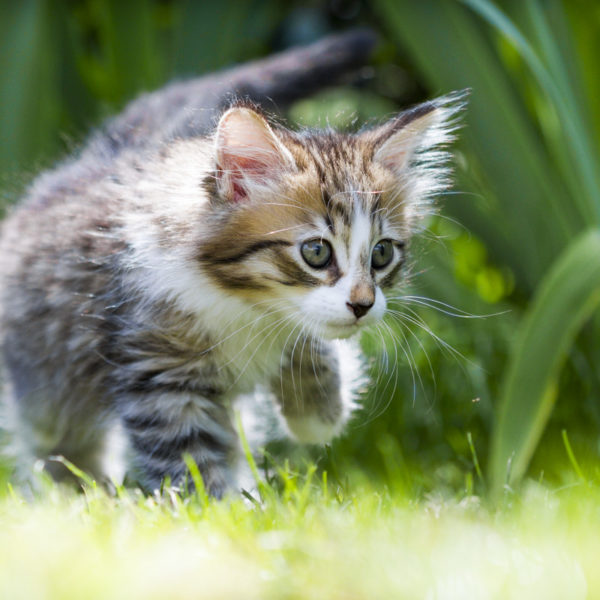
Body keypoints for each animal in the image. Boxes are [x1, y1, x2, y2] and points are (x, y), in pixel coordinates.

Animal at [0, 31, 464, 496]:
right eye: (316, 252)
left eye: (382, 253)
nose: (363, 304)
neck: (244, 303)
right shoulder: (160, 373)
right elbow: (192, 462)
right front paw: (219, 507)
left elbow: (311, 345)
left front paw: (317, 412)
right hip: (49, 391)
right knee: (62, 445)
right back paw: (77, 493)